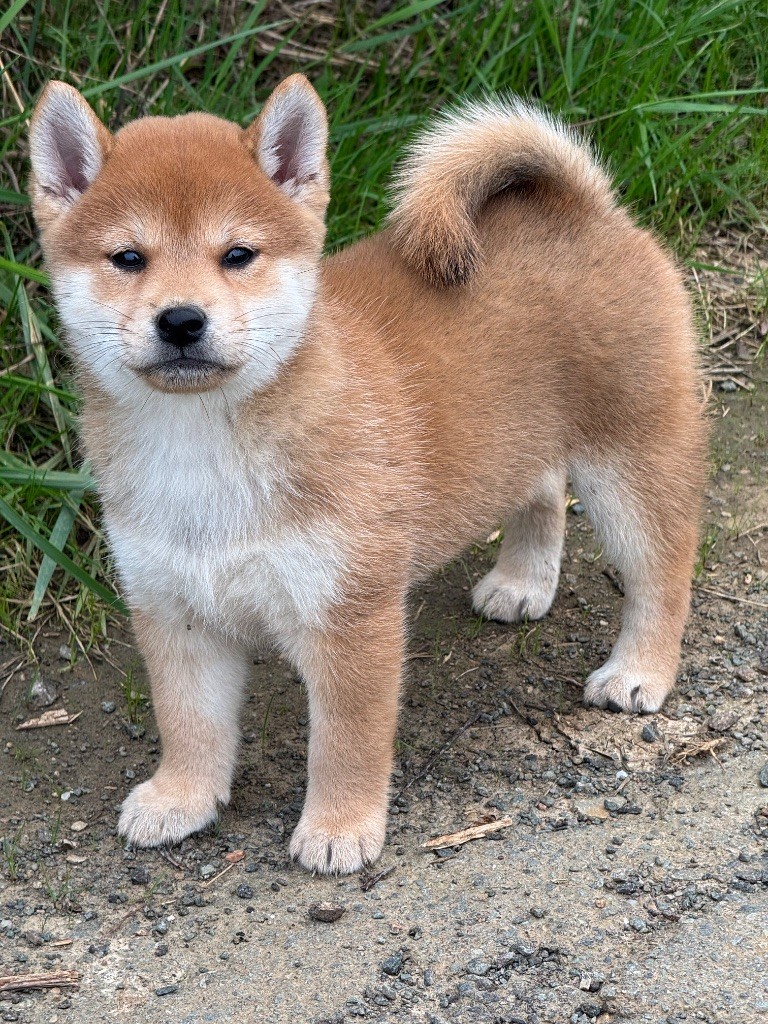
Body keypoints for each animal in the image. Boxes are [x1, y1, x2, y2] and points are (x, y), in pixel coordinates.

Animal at [29, 74, 705, 874]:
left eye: (238, 254)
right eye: (128, 258)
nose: (182, 320)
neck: (203, 448)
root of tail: (585, 208)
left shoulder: (351, 613)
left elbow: (346, 741)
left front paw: (339, 826)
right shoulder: (174, 607)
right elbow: (188, 722)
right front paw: (181, 797)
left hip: (631, 456)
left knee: (663, 568)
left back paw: (640, 670)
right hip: (523, 435)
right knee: (539, 492)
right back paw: (522, 581)